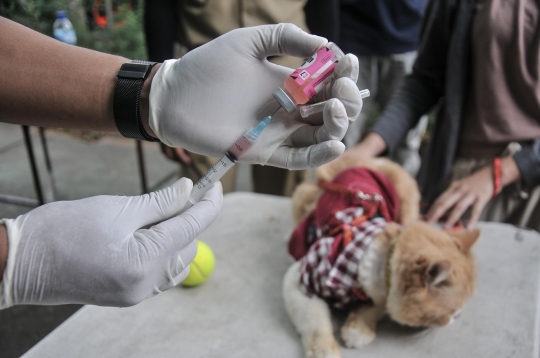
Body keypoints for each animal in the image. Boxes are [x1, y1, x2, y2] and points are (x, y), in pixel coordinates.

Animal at [280, 157, 478, 358]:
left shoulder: (382, 294)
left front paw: (358, 329)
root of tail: (371, 162)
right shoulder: (301, 282)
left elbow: (372, 309)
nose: (458, 317)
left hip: (407, 206)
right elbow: (316, 323)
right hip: (304, 199)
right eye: (453, 312)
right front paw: (324, 349)